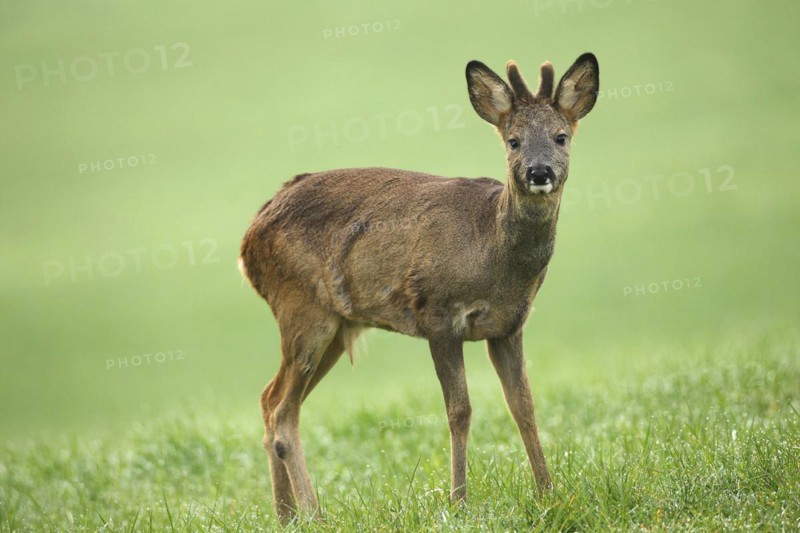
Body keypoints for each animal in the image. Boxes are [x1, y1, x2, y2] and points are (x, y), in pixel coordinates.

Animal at [239, 53, 599, 523]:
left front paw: (549, 494)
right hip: (301, 308)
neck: (490, 248)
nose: (539, 173)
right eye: (513, 141)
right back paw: (314, 515)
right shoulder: (437, 313)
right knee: (281, 412)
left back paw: (287, 517)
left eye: (561, 137)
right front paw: (459, 502)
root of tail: (248, 240)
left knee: (271, 400)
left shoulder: (509, 326)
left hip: (334, 324)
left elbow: (524, 405)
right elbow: (459, 410)